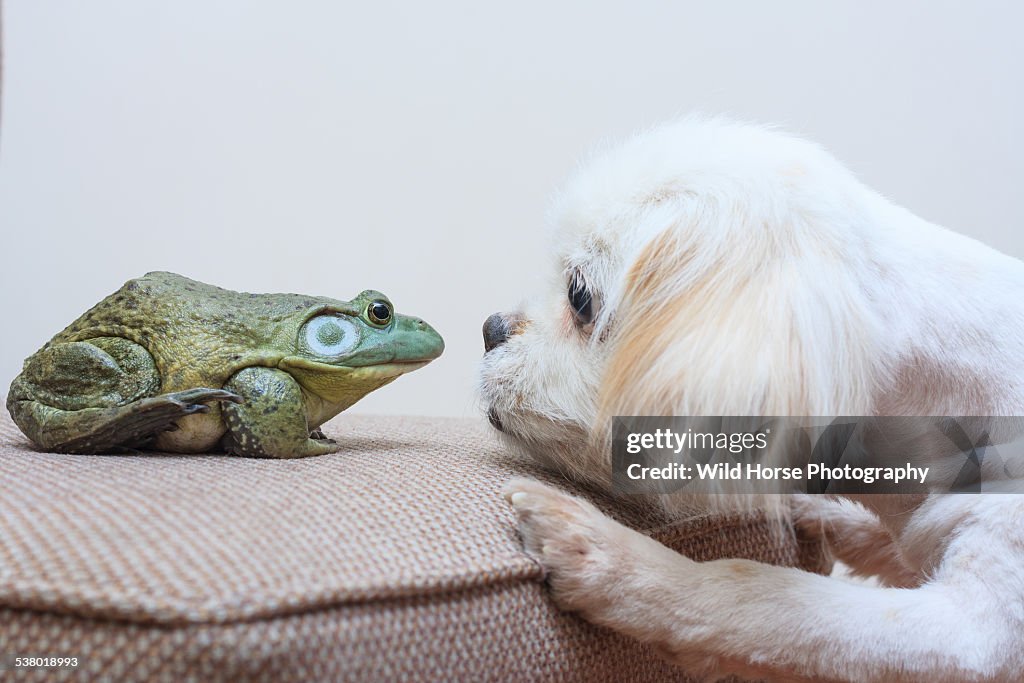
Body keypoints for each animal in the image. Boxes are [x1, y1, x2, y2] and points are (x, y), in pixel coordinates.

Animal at [479, 118, 1024, 683]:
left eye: (579, 297)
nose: (489, 329)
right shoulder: (907, 543)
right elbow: (872, 535)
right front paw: (806, 507)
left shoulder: (974, 636)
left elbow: (750, 592)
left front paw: (609, 557)